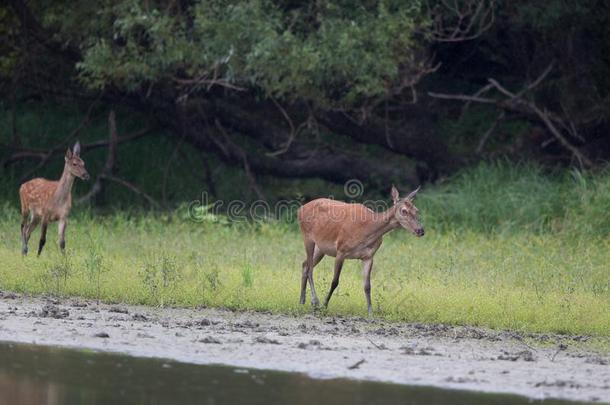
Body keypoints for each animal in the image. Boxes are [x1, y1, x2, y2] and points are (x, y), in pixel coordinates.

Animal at [296, 185, 422, 314]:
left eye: (416, 210)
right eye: (404, 211)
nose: (420, 230)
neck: (367, 230)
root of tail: (300, 209)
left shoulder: (368, 256)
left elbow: (367, 285)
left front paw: (370, 311)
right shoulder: (341, 250)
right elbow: (335, 281)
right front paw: (324, 305)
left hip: (321, 248)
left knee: (304, 264)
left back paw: (302, 300)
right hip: (307, 236)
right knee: (310, 268)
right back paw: (314, 301)